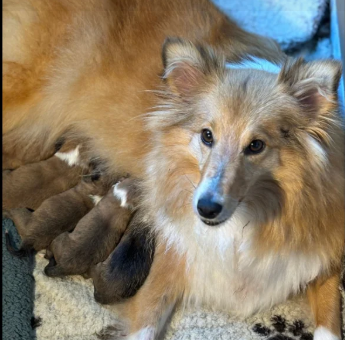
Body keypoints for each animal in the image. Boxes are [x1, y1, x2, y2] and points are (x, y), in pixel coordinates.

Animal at [2, 0, 342, 340]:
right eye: (207, 135)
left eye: (256, 145)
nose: (205, 209)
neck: (247, 222)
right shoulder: (167, 263)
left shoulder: (322, 262)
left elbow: (330, 320)